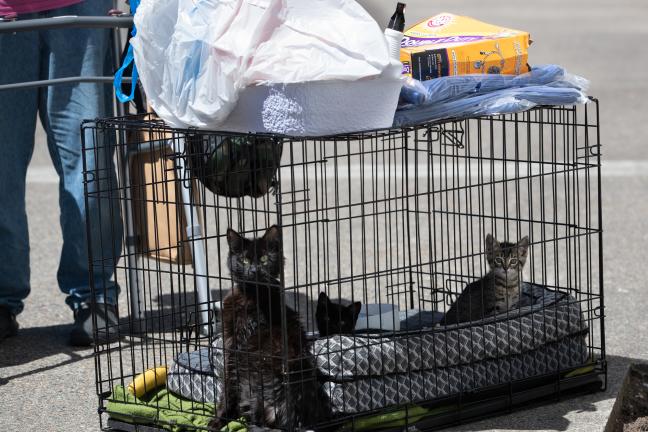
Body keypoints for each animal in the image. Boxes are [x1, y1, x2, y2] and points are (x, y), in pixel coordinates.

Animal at [211, 228, 326, 430]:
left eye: (264, 259)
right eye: (244, 260)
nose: (254, 270)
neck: (253, 294)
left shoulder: (234, 349)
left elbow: (227, 390)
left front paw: (218, 420)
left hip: (252, 387)